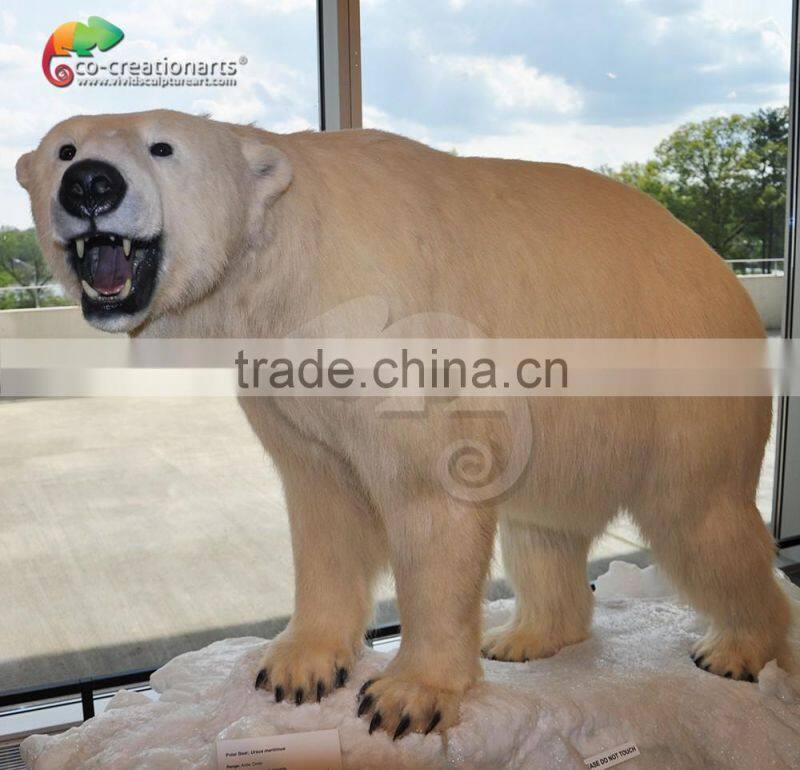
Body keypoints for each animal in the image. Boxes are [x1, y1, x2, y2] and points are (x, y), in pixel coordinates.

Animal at [16, 109, 791, 739]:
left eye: (164, 145)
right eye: (63, 148)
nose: (89, 185)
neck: (292, 260)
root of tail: (721, 272)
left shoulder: (398, 328)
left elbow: (430, 499)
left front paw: (404, 697)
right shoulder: (286, 377)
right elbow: (323, 501)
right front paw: (297, 667)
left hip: (677, 383)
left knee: (702, 518)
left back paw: (739, 649)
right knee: (544, 529)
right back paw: (524, 637)